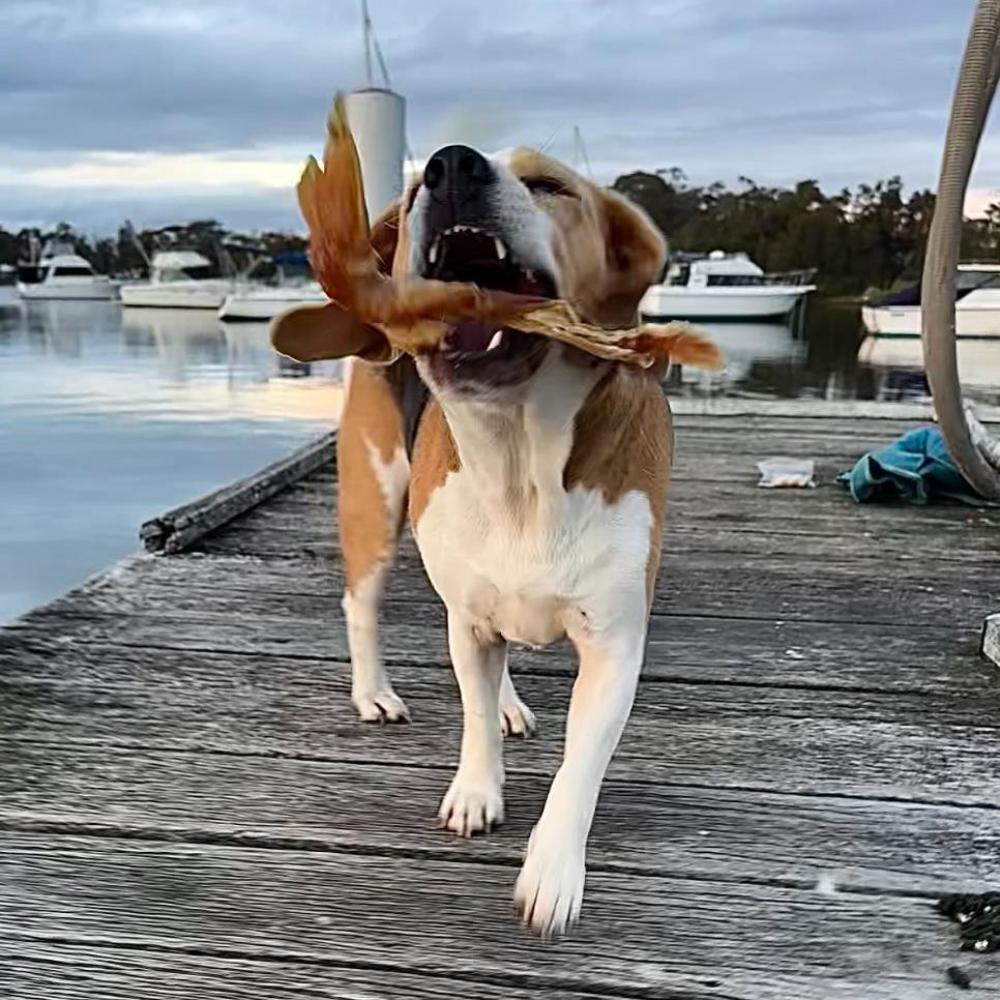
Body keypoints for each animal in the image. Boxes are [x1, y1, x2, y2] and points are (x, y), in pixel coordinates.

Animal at [274, 143, 712, 936]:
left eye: (548, 186)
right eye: (413, 190)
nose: (450, 166)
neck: (517, 456)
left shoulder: (613, 646)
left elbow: (579, 768)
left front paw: (552, 871)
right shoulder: (469, 623)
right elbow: (472, 715)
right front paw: (477, 792)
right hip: (376, 504)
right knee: (362, 607)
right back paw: (374, 692)